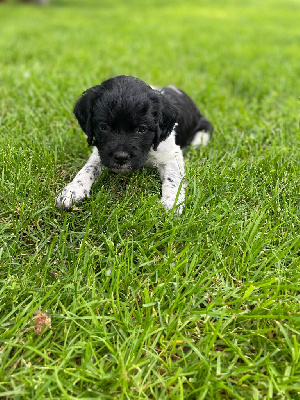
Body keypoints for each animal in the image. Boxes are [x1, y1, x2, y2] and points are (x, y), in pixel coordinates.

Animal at [54, 74, 213, 212]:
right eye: (103, 127)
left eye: (142, 129)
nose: (121, 157)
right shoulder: (101, 153)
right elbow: (87, 169)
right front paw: (72, 191)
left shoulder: (171, 155)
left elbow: (173, 178)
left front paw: (172, 203)